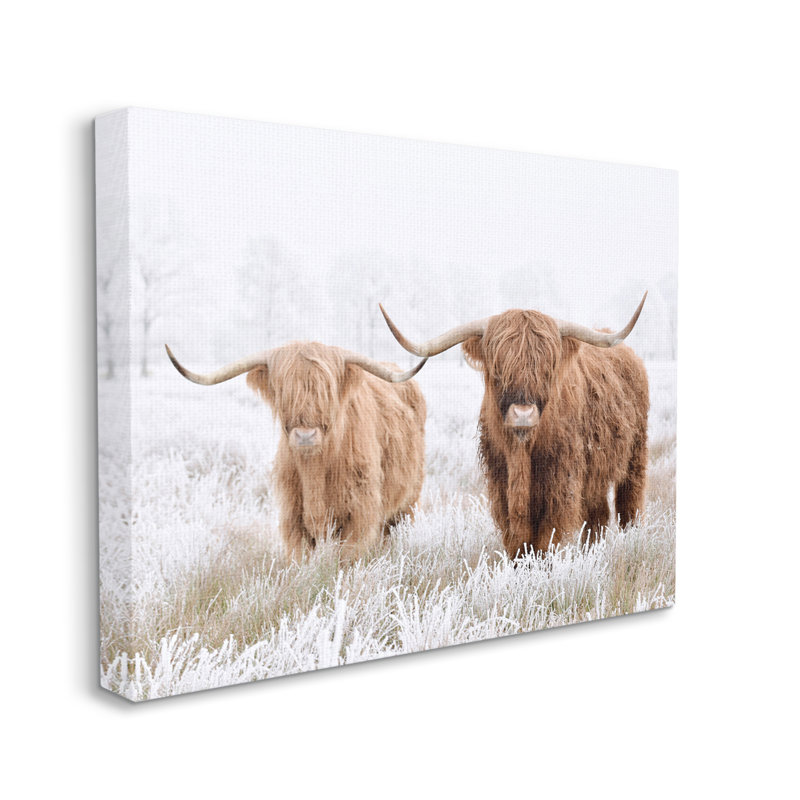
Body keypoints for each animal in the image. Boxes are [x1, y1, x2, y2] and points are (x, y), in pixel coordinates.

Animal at [165, 341, 427, 561]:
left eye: (326, 390)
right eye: (284, 391)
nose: (305, 435)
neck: (315, 470)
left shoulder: (359, 516)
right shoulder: (292, 518)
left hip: (408, 503)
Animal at [379, 295, 649, 558]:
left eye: (547, 369)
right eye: (498, 369)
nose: (523, 414)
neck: (522, 451)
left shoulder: (561, 482)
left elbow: (546, 536)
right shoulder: (500, 482)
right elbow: (516, 537)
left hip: (636, 455)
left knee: (629, 504)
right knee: (598, 514)